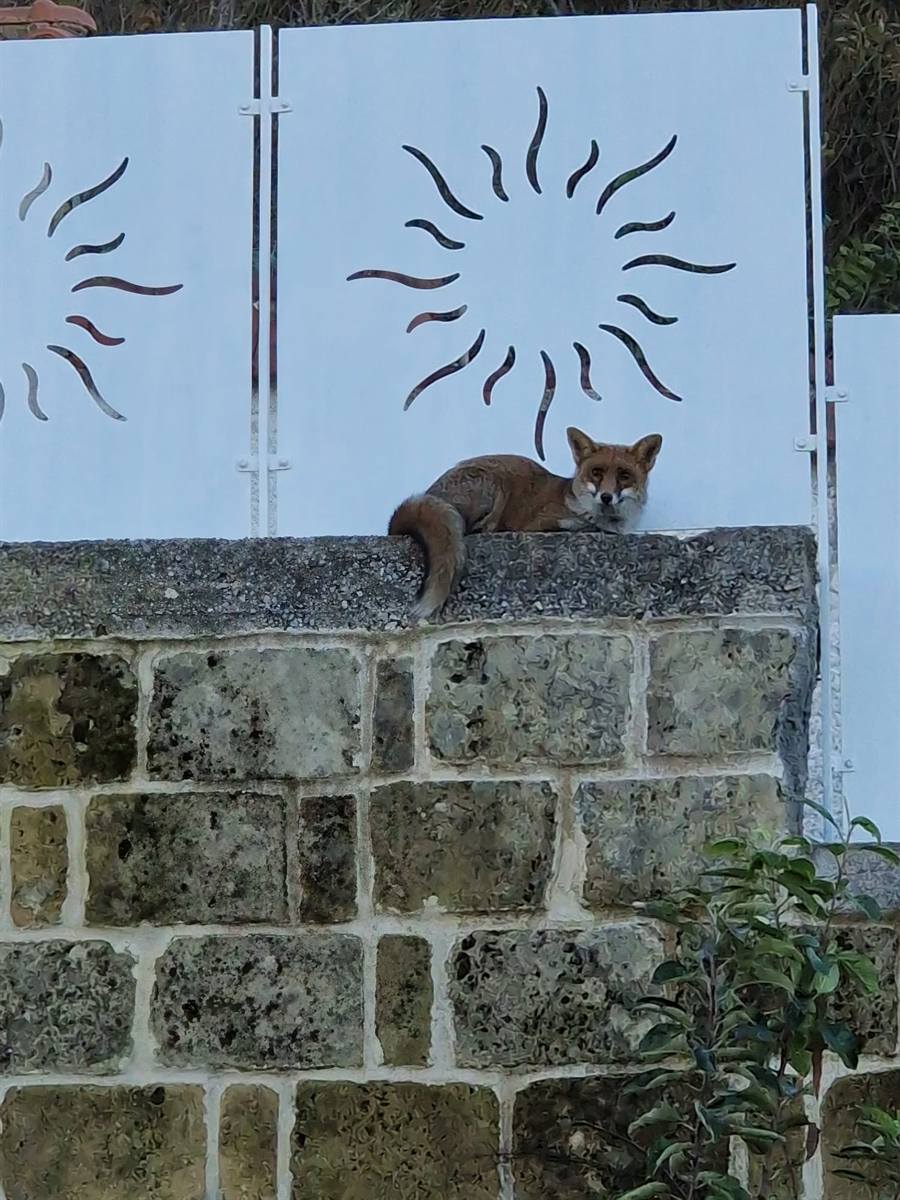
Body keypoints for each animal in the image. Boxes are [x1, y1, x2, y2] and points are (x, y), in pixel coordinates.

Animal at [388, 426, 662, 618]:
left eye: (624, 476)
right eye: (597, 473)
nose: (606, 497)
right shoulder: (540, 523)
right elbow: (581, 528)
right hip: (493, 487)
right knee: (472, 530)